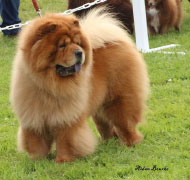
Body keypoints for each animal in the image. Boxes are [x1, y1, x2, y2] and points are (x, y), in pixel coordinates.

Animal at [10, 7, 150, 162]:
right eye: (62, 45)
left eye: (77, 43)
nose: (79, 52)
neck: (48, 85)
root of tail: (115, 41)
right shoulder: (33, 118)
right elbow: (36, 143)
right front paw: (37, 160)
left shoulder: (66, 118)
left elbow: (66, 141)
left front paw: (63, 161)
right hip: (100, 105)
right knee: (104, 125)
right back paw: (107, 142)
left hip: (119, 100)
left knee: (125, 122)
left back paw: (130, 142)